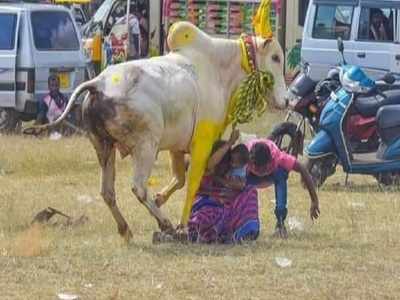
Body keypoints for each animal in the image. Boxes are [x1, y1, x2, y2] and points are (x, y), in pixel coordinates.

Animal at [36, 21, 288, 241]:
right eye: (275, 57)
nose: (286, 100)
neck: (219, 70)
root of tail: (98, 83)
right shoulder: (202, 142)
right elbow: (192, 183)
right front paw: (182, 226)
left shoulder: (177, 147)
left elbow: (180, 179)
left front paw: (159, 199)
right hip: (146, 146)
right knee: (138, 187)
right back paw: (164, 224)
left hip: (103, 147)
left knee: (107, 191)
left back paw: (126, 229)